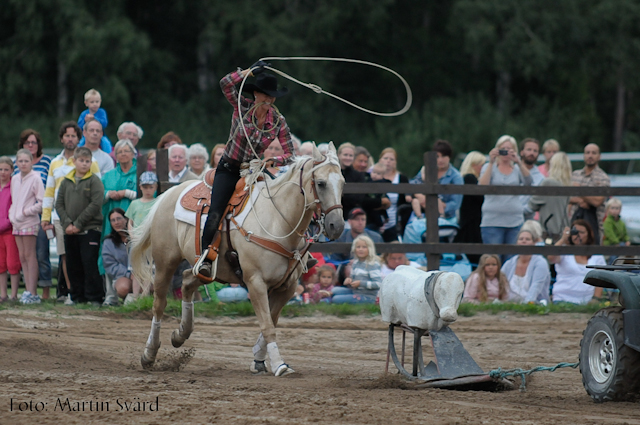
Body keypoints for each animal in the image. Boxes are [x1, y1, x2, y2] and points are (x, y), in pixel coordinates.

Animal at [127, 142, 342, 374]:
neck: (277, 220)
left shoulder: (288, 286)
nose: (337, 226)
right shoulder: (255, 282)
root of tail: (167, 193)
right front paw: (279, 364)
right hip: (165, 261)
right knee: (159, 304)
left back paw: (181, 333)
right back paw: (149, 353)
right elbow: (268, 325)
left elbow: (272, 320)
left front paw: (258, 359)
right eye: (320, 183)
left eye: (343, 183)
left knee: (186, 281)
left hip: (209, 270)